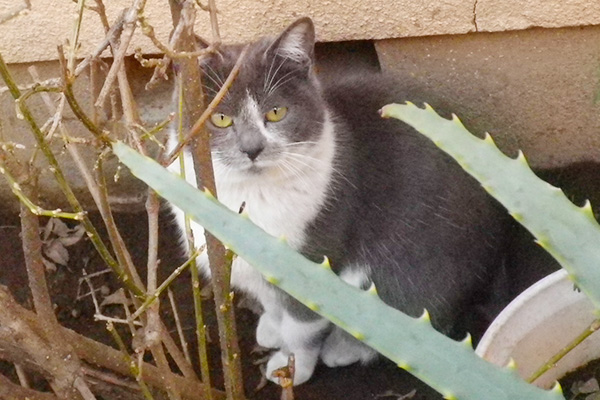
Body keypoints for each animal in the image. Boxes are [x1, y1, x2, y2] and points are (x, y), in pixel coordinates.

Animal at [170, 18, 524, 384]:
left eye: (276, 112)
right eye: (221, 119)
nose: (252, 148)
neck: (250, 195)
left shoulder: (314, 253)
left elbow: (301, 325)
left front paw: (292, 367)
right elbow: (272, 301)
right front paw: (271, 327)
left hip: (414, 271)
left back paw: (343, 348)